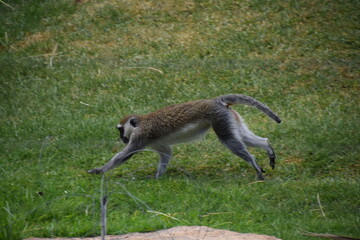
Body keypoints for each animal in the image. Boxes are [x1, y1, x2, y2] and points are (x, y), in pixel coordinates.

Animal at [88, 94, 282, 180]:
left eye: (121, 130)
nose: (122, 138)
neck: (140, 123)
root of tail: (215, 100)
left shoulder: (140, 137)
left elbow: (125, 155)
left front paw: (99, 170)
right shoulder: (156, 143)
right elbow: (166, 153)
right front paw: (158, 178)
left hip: (220, 119)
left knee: (229, 140)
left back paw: (255, 165)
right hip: (229, 117)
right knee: (242, 136)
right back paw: (267, 148)